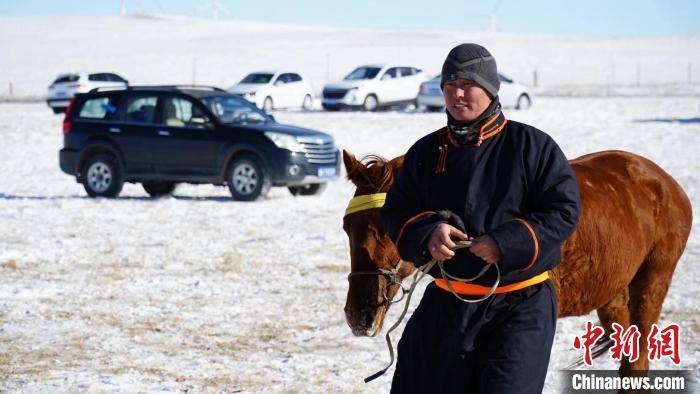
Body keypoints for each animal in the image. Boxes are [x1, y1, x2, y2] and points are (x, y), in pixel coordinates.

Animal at [342, 149, 692, 378]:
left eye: (387, 227)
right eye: (347, 227)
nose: (360, 313)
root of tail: (666, 183)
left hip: (651, 282)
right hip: (612, 290)